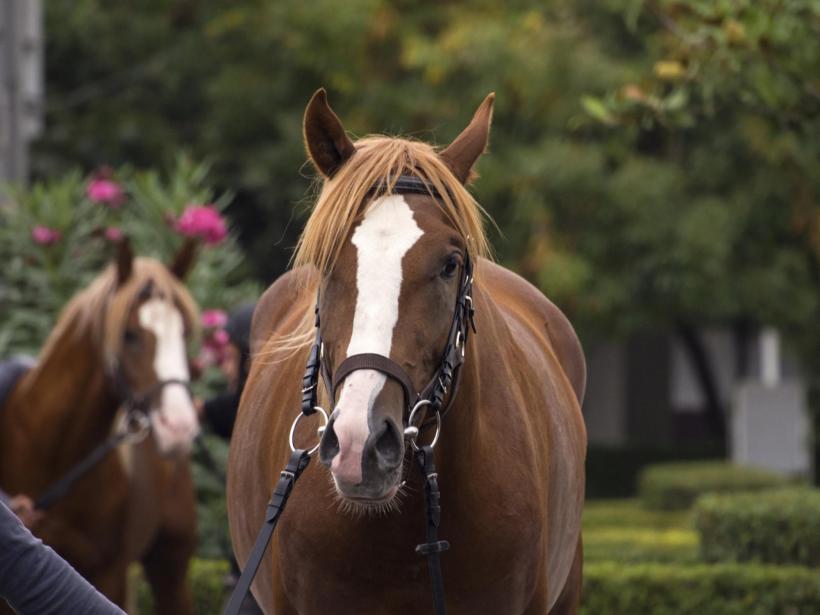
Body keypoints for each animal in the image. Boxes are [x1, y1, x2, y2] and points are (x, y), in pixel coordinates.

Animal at [0, 242, 203, 615]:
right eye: (129, 334)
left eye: (184, 333)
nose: (179, 426)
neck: (56, 457)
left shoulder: (109, 573)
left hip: (171, 567)